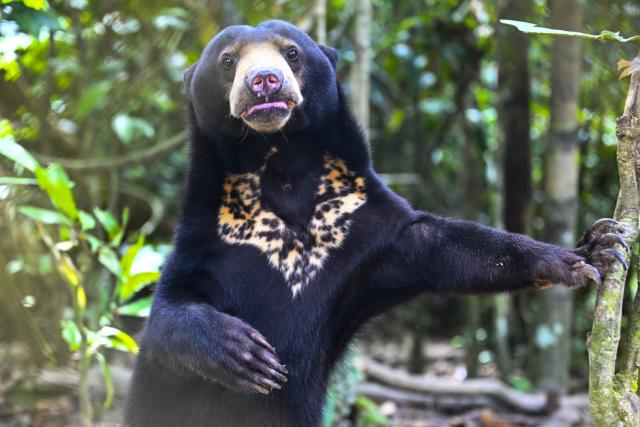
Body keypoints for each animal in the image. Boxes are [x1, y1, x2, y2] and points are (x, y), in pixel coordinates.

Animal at [124, 19, 627, 427]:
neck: (280, 168)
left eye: (291, 53)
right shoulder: (206, 237)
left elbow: (450, 247)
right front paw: (244, 352)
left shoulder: (367, 230)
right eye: (228, 61)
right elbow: (167, 312)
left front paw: (593, 251)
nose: (264, 81)